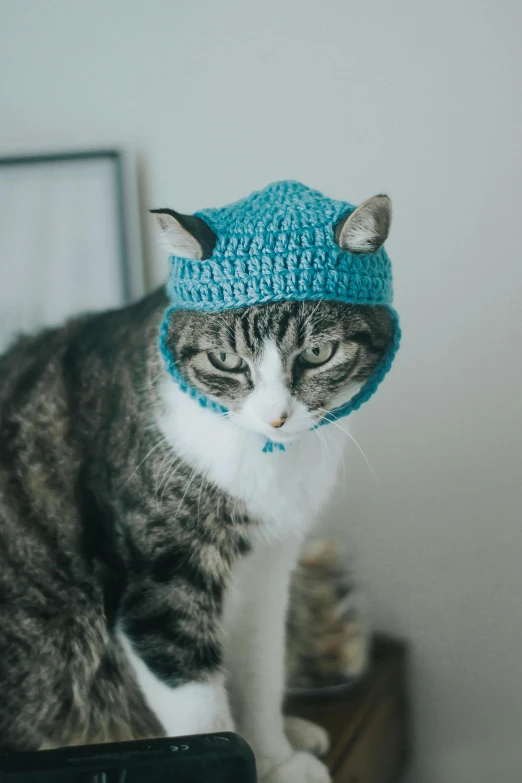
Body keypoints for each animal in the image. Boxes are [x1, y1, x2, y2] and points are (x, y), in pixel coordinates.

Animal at [0, 190, 390, 783]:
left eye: (318, 354)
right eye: (226, 360)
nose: (276, 418)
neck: (262, 458)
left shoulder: (269, 564)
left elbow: (261, 668)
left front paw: (273, 756)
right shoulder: (161, 578)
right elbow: (198, 705)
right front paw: (241, 757)